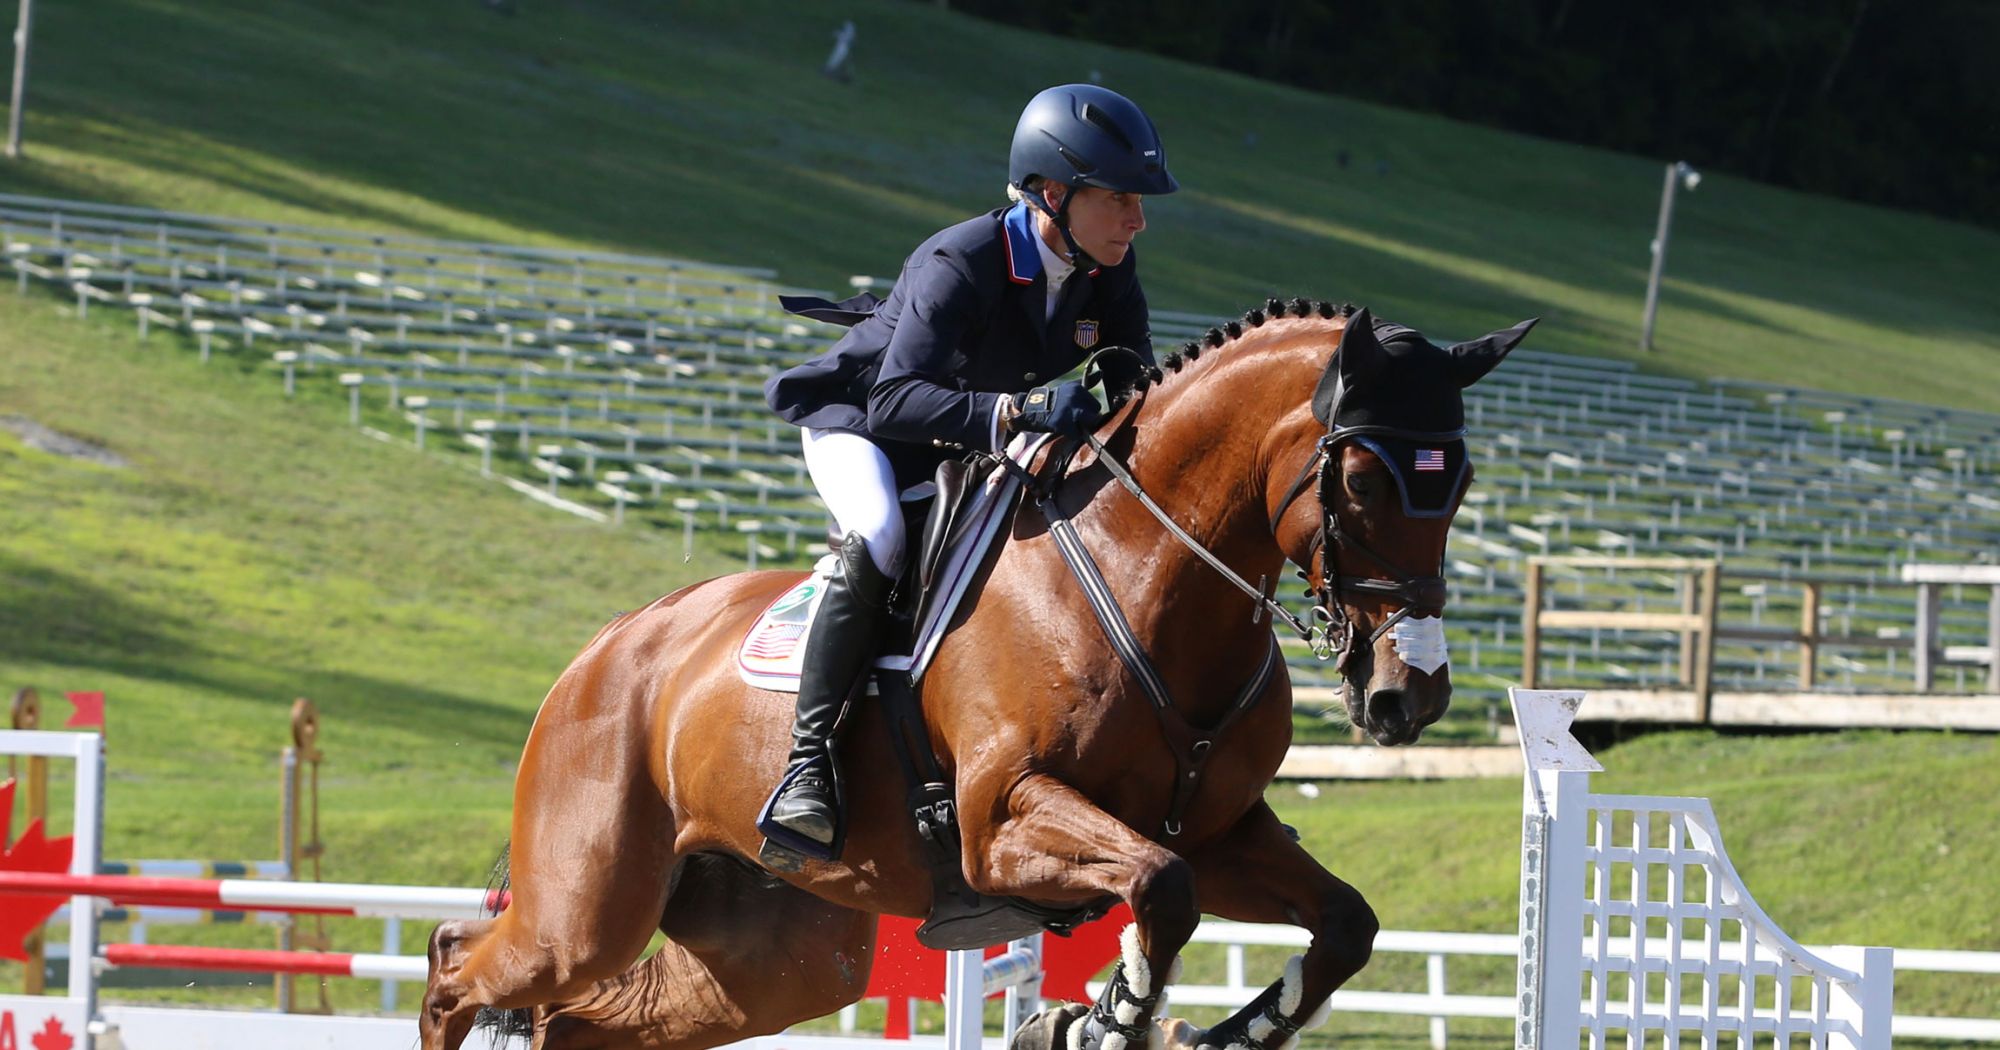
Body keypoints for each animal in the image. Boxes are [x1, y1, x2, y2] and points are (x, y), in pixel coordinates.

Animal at [419, 298, 1535, 1050]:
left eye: (1460, 481)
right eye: (1362, 480)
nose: (1409, 695)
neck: (1145, 572)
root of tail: (607, 647)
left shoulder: (1220, 834)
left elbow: (1342, 924)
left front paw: (1221, 1032)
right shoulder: (1003, 823)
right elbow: (1161, 893)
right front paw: (1099, 1022)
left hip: (774, 959)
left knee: (574, 1023)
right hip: (585, 910)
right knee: (454, 968)